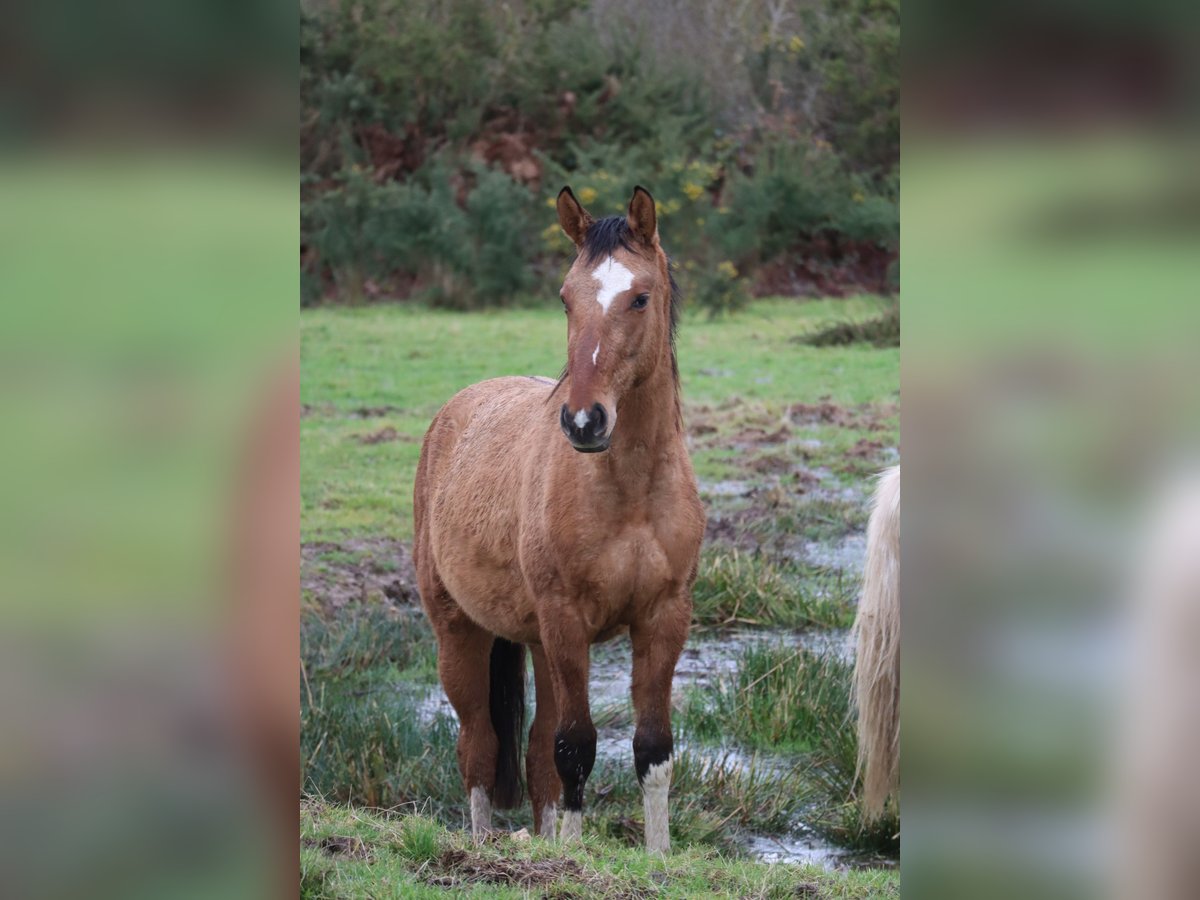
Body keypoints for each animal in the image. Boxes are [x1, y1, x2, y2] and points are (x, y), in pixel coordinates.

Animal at [412, 184, 700, 854]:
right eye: (566, 299)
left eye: (639, 297)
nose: (584, 422)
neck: (630, 492)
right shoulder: (567, 620)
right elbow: (576, 746)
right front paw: (572, 852)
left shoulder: (664, 617)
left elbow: (651, 750)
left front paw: (658, 855)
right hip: (460, 632)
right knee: (480, 747)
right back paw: (484, 841)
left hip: (538, 642)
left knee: (535, 753)